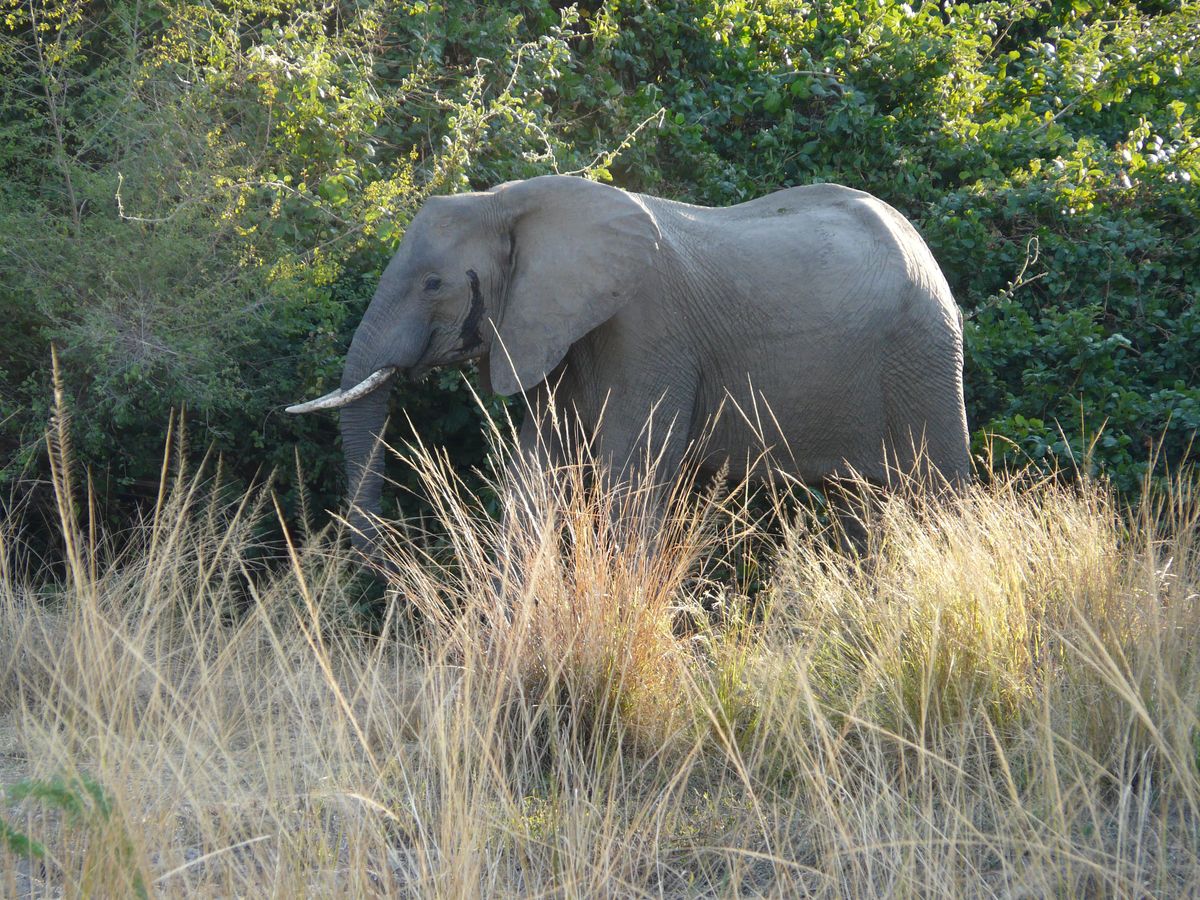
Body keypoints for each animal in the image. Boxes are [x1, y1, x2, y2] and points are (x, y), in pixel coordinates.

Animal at [287, 175, 971, 552]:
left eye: (433, 284)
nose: (372, 556)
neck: (511, 202)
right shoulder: (554, 333)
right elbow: (536, 473)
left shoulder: (647, 334)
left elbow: (628, 478)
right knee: (860, 504)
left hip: (925, 354)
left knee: (937, 494)